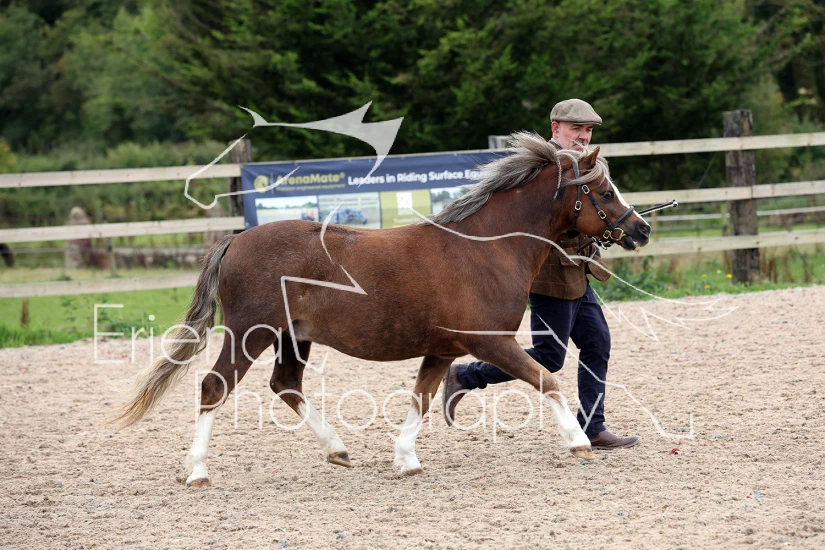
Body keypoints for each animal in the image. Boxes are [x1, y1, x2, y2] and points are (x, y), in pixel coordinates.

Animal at [116, 131, 650, 487]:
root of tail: (236, 239)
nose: (641, 229)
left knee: (285, 385)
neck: (485, 248)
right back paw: (197, 472)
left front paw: (405, 459)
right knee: (214, 387)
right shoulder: (490, 342)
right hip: (252, 333)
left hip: (293, 337)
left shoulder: (444, 348)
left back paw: (338, 450)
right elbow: (547, 379)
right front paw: (578, 442)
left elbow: (422, 397)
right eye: (605, 192)